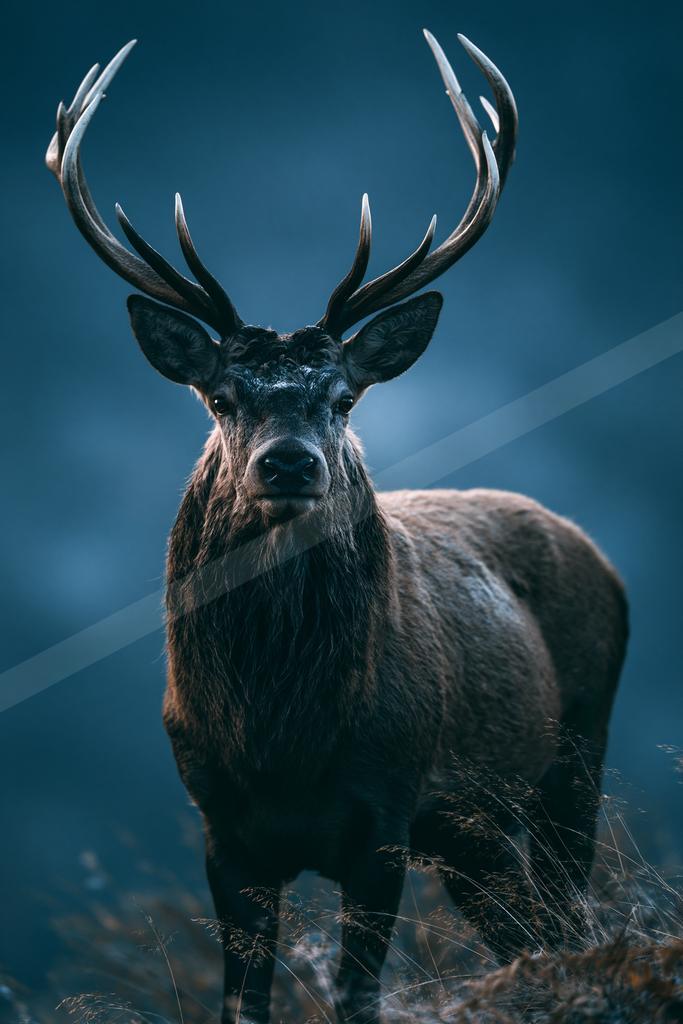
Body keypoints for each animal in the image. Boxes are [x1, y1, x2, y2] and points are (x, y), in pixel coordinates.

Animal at [47, 31, 628, 1024]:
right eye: (222, 396)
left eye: (344, 397)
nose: (288, 463)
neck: (285, 738)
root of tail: (599, 557)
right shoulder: (222, 828)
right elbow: (243, 1004)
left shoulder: (386, 812)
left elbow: (358, 996)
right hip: (472, 830)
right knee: (533, 932)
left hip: (576, 749)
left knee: (572, 916)